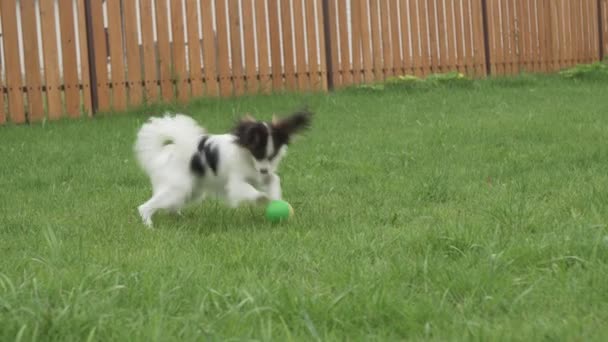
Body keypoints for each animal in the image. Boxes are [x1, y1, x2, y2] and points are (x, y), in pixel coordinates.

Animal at [134, 110, 314, 227]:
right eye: (257, 152)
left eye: (272, 155)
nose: (264, 171)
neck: (248, 158)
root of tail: (163, 153)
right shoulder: (236, 183)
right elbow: (252, 191)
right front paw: (264, 199)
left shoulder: (263, 176)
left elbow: (274, 180)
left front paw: (276, 198)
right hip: (177, 187)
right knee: (145, 207)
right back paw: (149, 226)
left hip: (192, 191)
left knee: (171, 207)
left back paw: (180, 218)